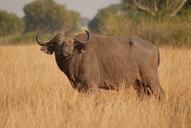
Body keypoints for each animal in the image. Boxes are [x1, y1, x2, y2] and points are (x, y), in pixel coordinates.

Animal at [35, 29, 164, 99]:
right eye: (57, 44)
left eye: (72, 43)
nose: (66, 52)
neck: (77, 57)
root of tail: (154, 47)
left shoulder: (91, 86)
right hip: (139, 84)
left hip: (151, 80)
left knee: (160, 93)